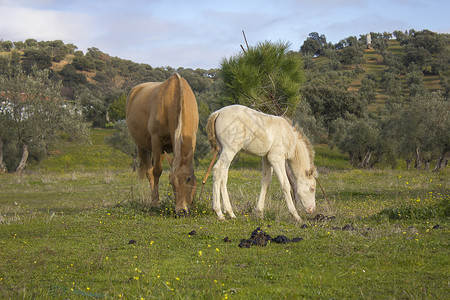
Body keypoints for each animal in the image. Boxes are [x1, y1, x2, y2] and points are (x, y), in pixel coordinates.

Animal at [125, 73, 198, 214]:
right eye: (171, 182)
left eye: (188, 179)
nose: (181, 211)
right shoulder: (156, 140)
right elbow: (157, 171)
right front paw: (156, 203)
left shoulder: (192, 138)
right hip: (142, 147)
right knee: (150, 172)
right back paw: (154, 200)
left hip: (163, 151)